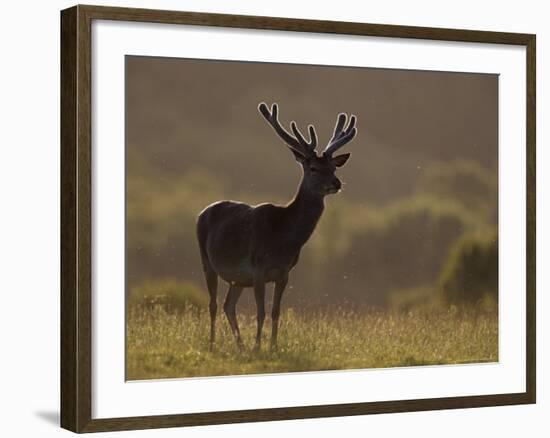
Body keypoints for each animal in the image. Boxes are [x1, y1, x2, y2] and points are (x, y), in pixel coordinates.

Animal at [197, 102, 358, 352]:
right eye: (313, 168)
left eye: (334, 167)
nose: (336, 183)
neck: (283, 239)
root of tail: (202, 212)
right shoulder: (258, 268)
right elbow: (261, 312)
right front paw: (258, 347)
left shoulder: (284, 273)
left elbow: (275, 312)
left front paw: (272, 347)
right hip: (207, 261)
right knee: (213, 304)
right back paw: (214, 344)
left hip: (238, 278)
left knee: (228, 304)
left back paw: (240, 346)